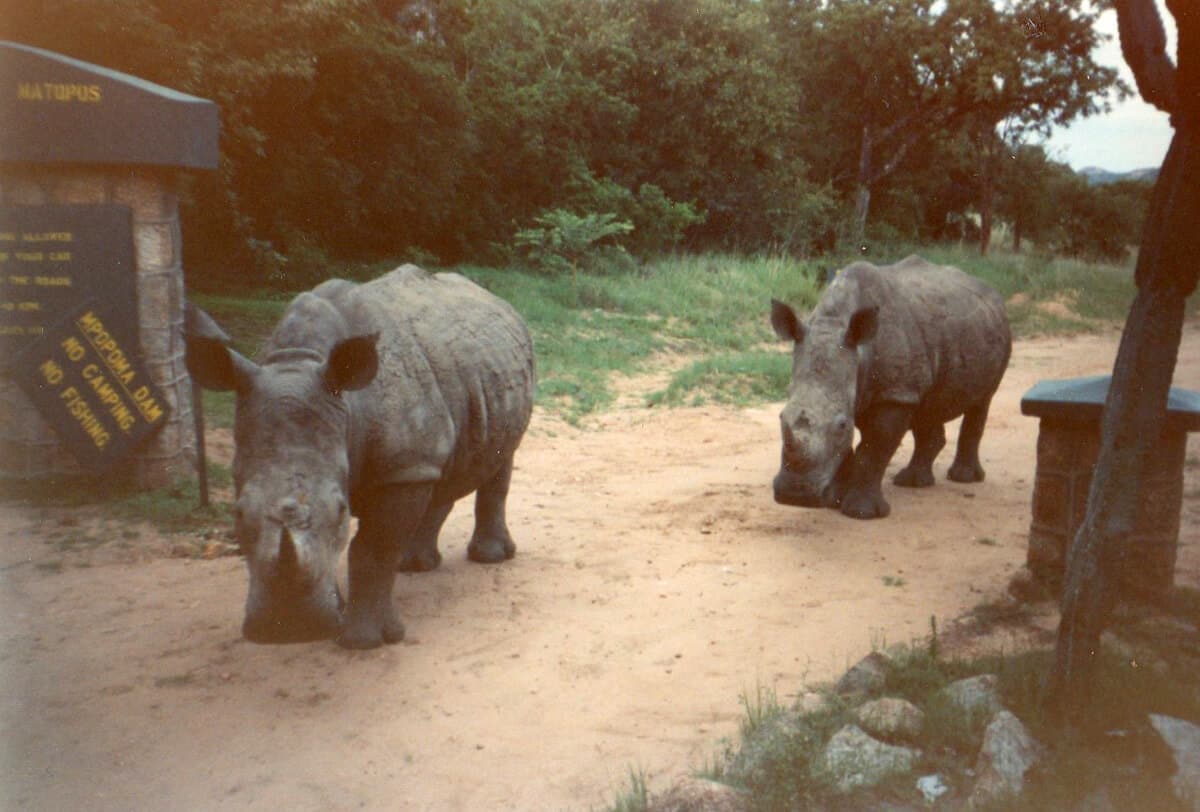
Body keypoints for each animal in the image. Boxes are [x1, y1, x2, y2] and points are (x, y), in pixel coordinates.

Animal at [186, 266, 535, 647]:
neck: (300, 359)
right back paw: (416, 565)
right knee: (443, 467)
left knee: (499, 460)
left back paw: (488, 558)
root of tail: (497, 301)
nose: (289, 629)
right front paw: (335, 614)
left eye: (341, 511)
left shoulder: (399, 469)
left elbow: (372, 550)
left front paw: (363, 641)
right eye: (237, 512)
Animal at [768, 255, 1012, 520]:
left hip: (996, 332)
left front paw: (861, 513)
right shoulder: (877, 389)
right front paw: (835, 500)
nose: (795, 495)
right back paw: (912, 482)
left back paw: (962, 478)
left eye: (841, 424)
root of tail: (991, 290)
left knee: (981, 401)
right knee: (927, 408)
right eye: (781, 418)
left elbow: (875, 447)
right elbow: (850, 449)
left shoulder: (894, 394)